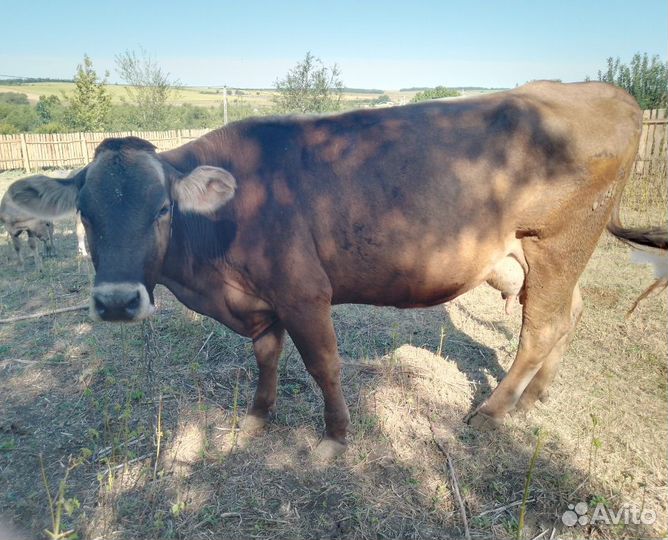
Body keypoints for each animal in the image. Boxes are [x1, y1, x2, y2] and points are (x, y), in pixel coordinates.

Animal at [8, 81, 655, 459]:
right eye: (85, 213)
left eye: (162, 207)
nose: (117, 302)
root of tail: (605, 91)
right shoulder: (260, 299)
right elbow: (266, 356)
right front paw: (258, 416)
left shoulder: (303, 292)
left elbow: (323, 365)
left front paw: (335, 437)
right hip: (537, 258)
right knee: (570, 313)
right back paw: (536, 395)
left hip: (557, 245)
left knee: (542, 326)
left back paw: (492, 411)